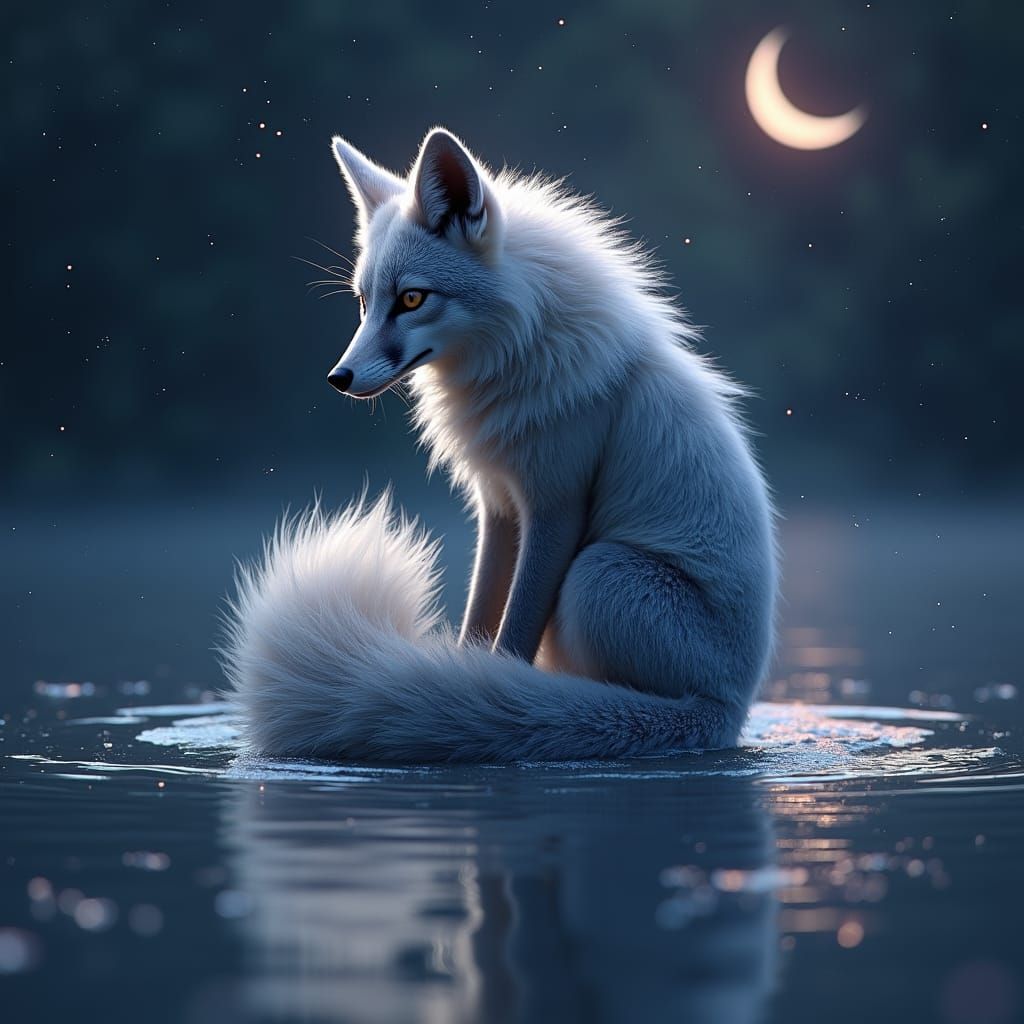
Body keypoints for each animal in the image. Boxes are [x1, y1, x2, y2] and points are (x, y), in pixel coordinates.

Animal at [223, 127, 778, 763]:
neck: (518, 354)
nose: (340, 378)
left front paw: (479, 697)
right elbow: (480, 624)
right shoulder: (498, 507)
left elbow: (513, 635)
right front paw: (462, 683)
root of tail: (729, 710)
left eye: (411, 300)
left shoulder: (556, 506)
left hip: (599, 572)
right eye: (364, 302)